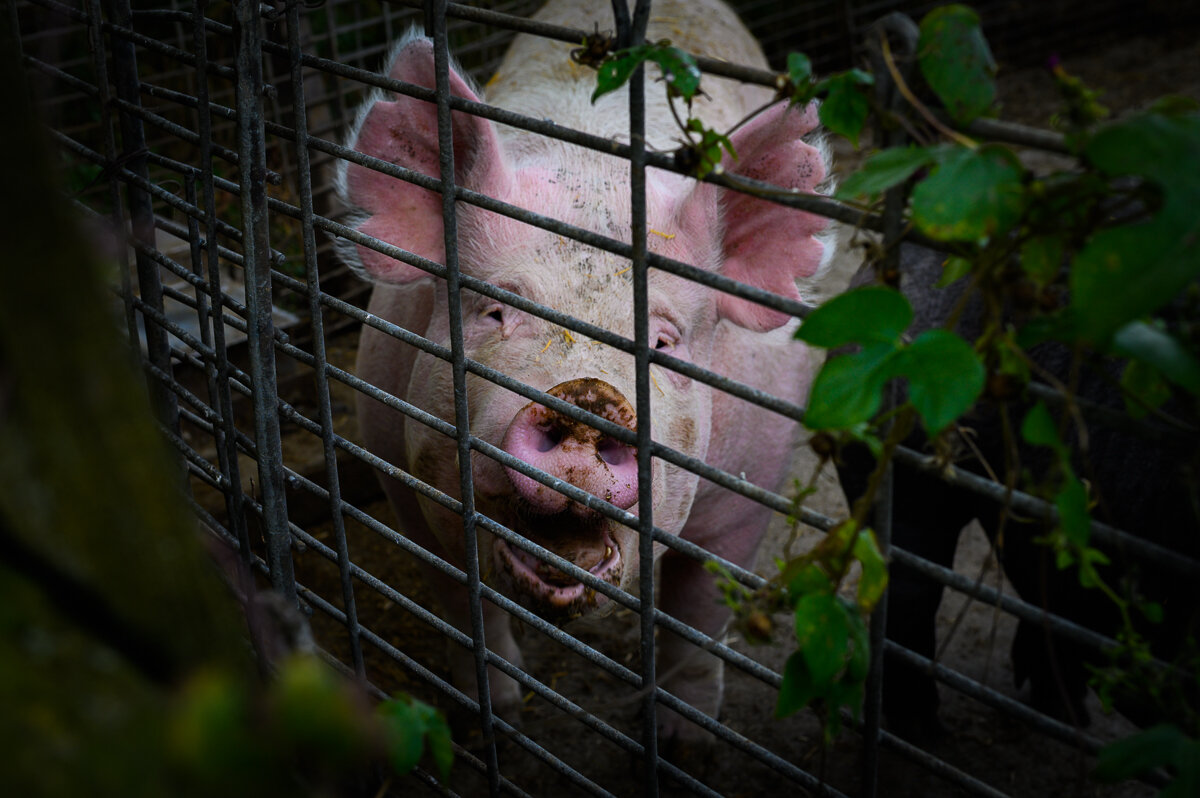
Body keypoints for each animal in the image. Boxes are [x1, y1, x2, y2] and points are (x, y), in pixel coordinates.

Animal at [333, 1, 830, 748]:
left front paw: (683, 741)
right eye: (495, 311)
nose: (587, 398)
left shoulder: (749, 493)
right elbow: (457, 594)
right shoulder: (393, 460)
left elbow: (698, 615)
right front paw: (495, 710)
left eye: (664, 342)